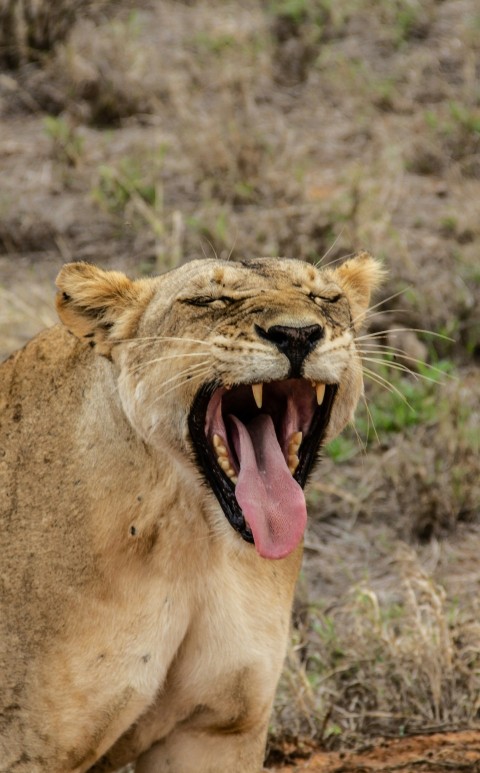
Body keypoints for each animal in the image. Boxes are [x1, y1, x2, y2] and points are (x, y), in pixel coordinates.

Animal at [0, 253, 382, 772]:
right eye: (207, 300)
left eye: (324, 297)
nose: (298, 334)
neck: (191, 536)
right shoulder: (30, 750)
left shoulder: (218, 729)